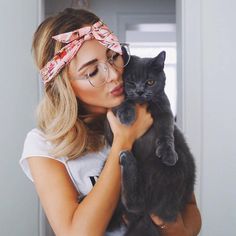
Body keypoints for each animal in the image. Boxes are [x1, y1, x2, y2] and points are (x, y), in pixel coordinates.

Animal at [104, 49, 195, 236]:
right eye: (131, 81)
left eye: (150, 82)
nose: (139, 91)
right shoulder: (110, 123)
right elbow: (124, 102)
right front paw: (127, 114)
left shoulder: (164, 108)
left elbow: (166, 132)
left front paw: (168, 154)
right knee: (136, 204)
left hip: (176, 165)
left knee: (139, 204)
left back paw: (128, 159)